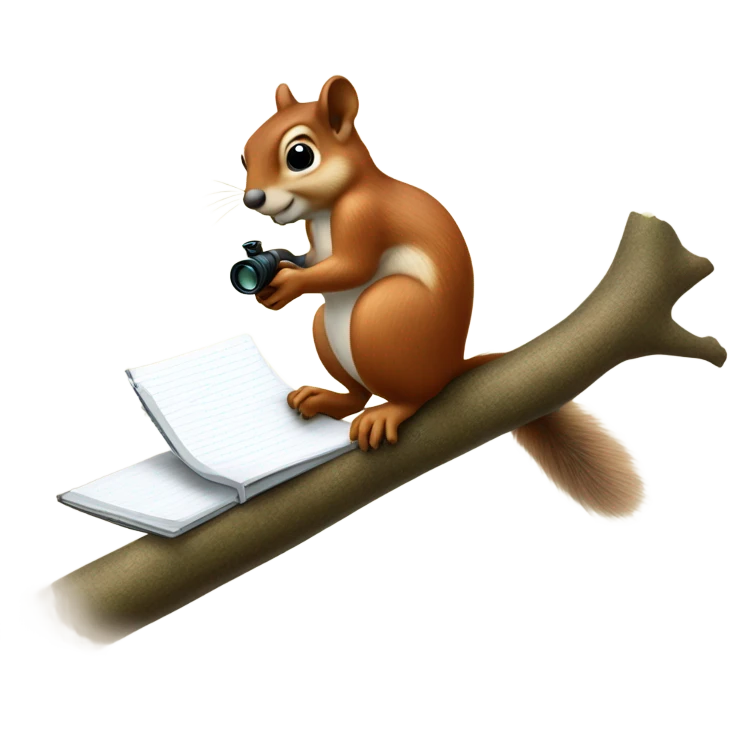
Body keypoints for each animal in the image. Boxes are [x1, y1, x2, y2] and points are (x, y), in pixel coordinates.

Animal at [239, 75, 650, 524]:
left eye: (300, 155)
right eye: (246, 154)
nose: (252, 199)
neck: (332, 205)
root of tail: (450, 365)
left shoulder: (366, 215)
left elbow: (350, 268)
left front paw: (288, 283)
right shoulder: (319, 244)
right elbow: (315, 261)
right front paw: (276, 274)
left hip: (382, 316)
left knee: (414, 395)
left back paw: (386, 413)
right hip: (328, 332)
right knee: (357, 393)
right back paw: (324, 398)